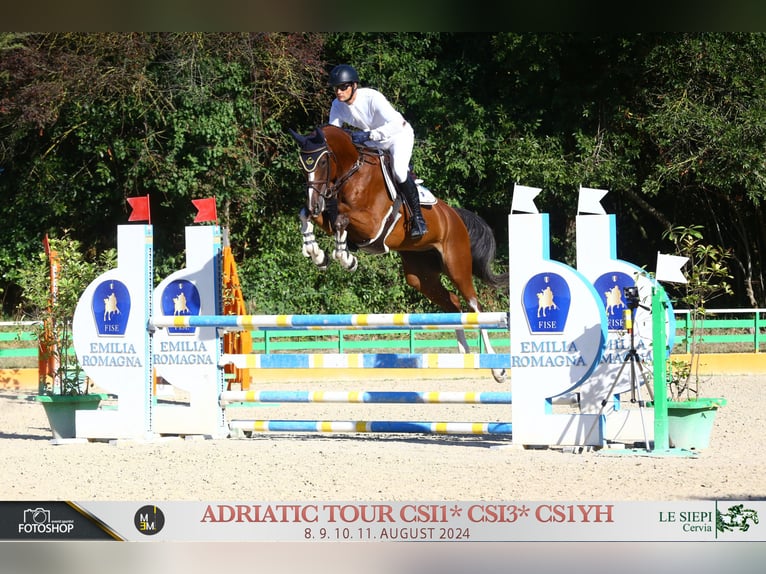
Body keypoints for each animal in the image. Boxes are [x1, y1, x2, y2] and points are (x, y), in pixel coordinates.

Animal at [288, 124, 510, 384]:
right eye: (302, 165)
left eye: (323, 162)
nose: (314, 202)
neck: (352, 173)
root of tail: (454, 215)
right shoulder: (328, 212)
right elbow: (309, 215)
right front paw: (316, 253)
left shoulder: (371, 224)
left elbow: (342, 219)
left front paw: (346, 258)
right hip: (420, 277)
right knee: (454, 304)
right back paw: (464, 353)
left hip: (457, 266)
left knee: (475, 307)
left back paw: (497, 369)